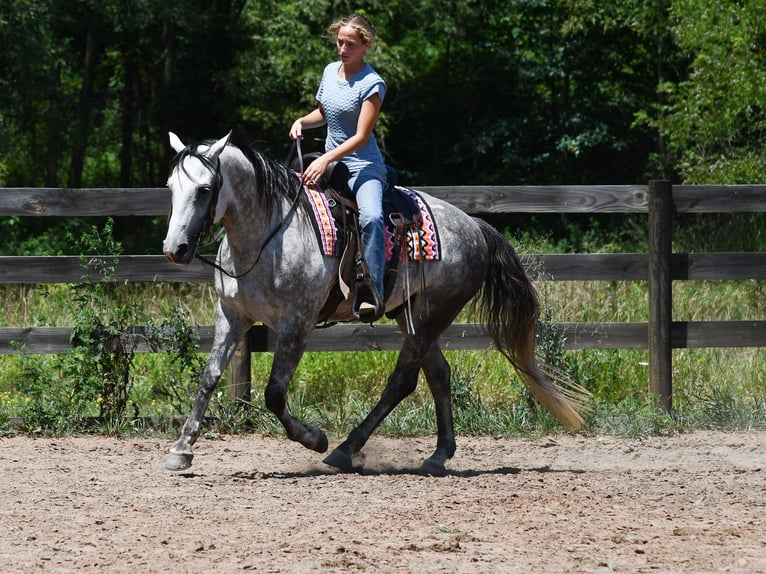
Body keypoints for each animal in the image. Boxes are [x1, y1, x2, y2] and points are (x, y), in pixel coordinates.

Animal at [162, 131, 589, 476]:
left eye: (204, 189)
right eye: (170, 187)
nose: (175, 249)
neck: (269, 235)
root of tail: (476, 228)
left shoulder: (296, 323)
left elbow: (274, 393)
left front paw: (314, 438)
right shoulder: (231, 317)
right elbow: (209, 377)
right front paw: (182, 448)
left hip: (434, 313)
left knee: (402, 380)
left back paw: (343, 450)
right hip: (413, 315)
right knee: (438, 374)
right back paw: (438, 456)